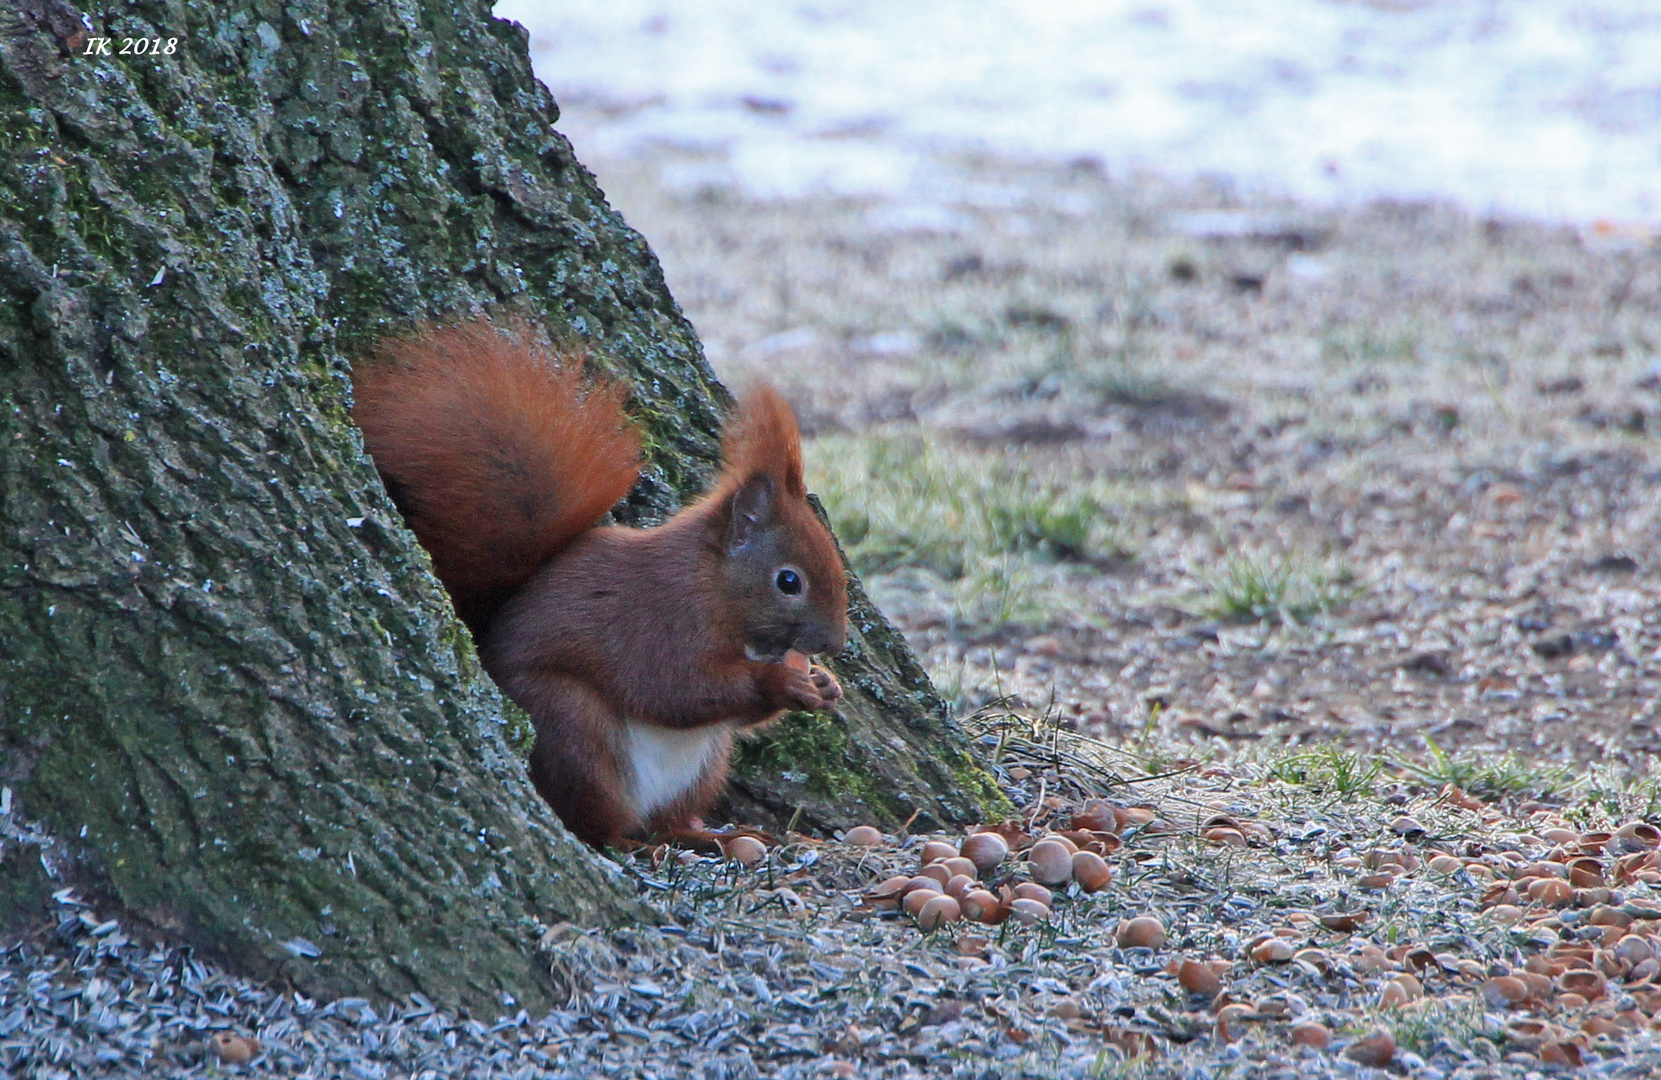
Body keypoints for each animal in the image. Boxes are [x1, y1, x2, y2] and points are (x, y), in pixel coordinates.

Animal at [348, 315, 843, 844]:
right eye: (788, 582)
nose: (834, 645)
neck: (715, 585)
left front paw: (822, 681)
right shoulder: (662, 619)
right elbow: (678, 689)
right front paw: (783, 681)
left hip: (704, 765)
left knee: (668, 824)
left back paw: (713, 835)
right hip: (573, 730)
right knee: (603, 825)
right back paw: (630, 840)